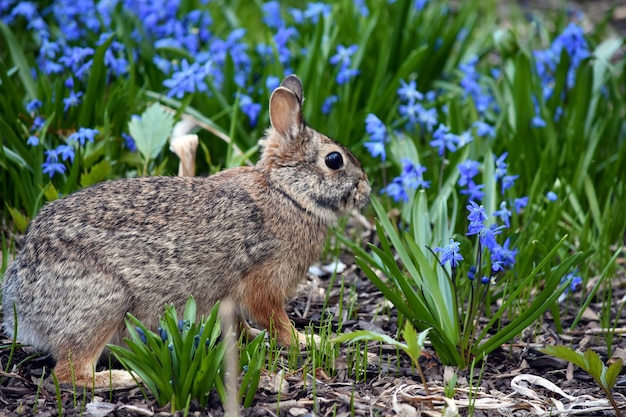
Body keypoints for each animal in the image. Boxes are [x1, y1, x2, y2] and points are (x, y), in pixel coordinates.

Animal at [1, 74, 370, 386]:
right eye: (334, 160)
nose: (365, 189)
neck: (287, 193)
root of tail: (20, 297)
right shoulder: (262, 283)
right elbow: (275, 320)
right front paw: (306, 340)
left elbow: (240, 325)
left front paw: (255, 339)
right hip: (103, 304)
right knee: (69, 373)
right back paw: (122, 379)